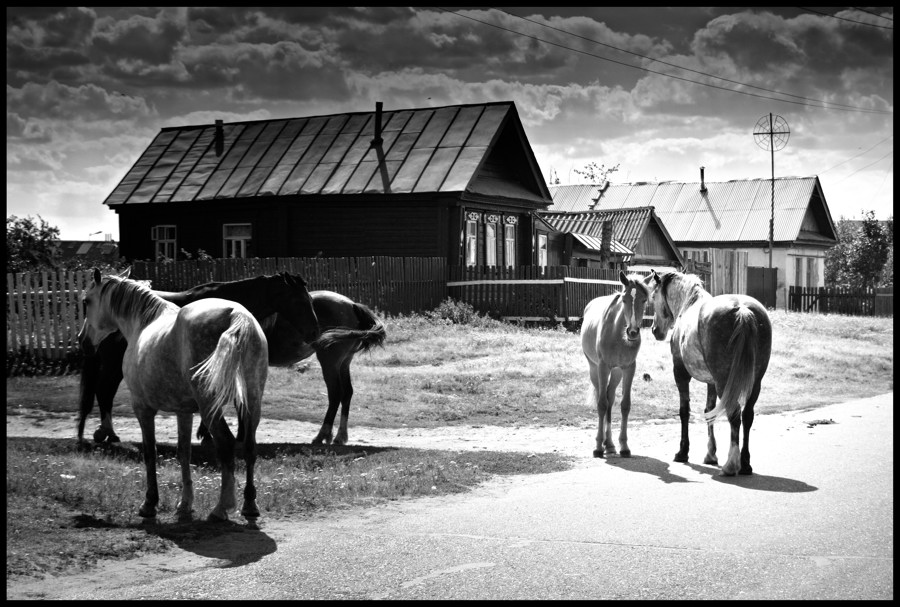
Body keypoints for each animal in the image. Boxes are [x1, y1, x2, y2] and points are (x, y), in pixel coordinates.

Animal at [81, 268, 268, 524]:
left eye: (86, 301)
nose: (83, 341)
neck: (143, 323)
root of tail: (236, 315)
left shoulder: (143, 408)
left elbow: (150, 453)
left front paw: (149, 503)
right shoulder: (184, 411)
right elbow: (183, 453)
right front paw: (184, 505)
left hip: (211, 407)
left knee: (227, 444)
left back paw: (222, 508)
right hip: (251, 401)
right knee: (249, 447)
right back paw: (249, 505)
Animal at [580, 274, 652, 458]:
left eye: (644, 300)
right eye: (624, 299)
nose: (633, 332)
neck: (617, 334)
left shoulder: (629, 368)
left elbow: (625, 405)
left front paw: (624, 446)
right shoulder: (603, 367)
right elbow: (601, 405)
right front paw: (598, 447)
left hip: (617, 373)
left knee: (610, 398)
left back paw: (610, 444)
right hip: (594, 369)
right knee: (602, 397)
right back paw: (603, 444)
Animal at [648, 268, 772, 478]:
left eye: (653, 296)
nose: (655, 330)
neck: (687, 305)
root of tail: (742, 310)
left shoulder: (680, 374)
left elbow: (684, 411)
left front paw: (683, 452)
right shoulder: (711, 382)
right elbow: (709, 411)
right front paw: (711, 454)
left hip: (725, 382)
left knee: (734, 414)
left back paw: (731, 465)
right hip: (755, 383)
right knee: (747, 415)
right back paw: (745, 464)